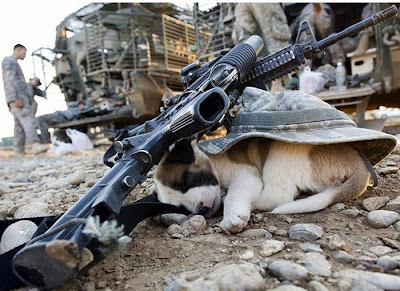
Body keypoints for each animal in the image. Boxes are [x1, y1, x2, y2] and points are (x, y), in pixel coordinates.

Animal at [155, 137, 370, 235]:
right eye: (180, 208)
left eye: (185, 180)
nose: (202, 210)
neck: (212, 158)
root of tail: (358, 161)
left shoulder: (245, 174)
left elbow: (234, 195)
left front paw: (232, 217)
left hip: (281, 152)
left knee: (277, 197)